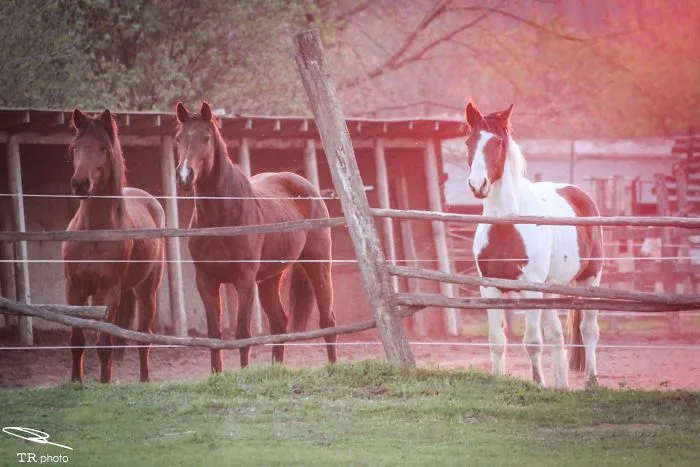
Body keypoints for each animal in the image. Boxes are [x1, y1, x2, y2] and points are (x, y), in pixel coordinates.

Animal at [63, 108, 165, 384]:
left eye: (102, 148)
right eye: (75, 147)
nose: (80, 184)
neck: (95, 233)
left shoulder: (108, 292)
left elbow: (104, 345)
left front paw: (104, 384)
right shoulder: (74, 289)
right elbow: (77, 341)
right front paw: (75, 382)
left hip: (147, 292)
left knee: (143, 338)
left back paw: (144, 380)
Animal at [173, 101, 337, 372]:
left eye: (206, 138)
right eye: (178, 139)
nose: (184, 176)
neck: (221, 220)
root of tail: (307, 187)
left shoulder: (245, 280)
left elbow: (243, 333)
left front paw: (244, 374)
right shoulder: (205, 280)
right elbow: (214, 335)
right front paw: (217, 375)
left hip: (318, 267)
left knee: (328, 321)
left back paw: (333, 366)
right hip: (270, 279)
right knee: (279, 322)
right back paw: (276, 368)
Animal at [464, 100, 603, 389]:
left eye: (497, 142)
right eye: (469, 141)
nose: (477, 185)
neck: (507, 223)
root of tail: (579, 194)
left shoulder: (530, 290)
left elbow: (532, 342)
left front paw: (539, 384)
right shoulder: (489, 288)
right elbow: (497, 341)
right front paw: (498, 379)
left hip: (589, 280)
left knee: (588, 330)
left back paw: (591, 381)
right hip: (549, 290)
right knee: (557, 335)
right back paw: (562, 385)